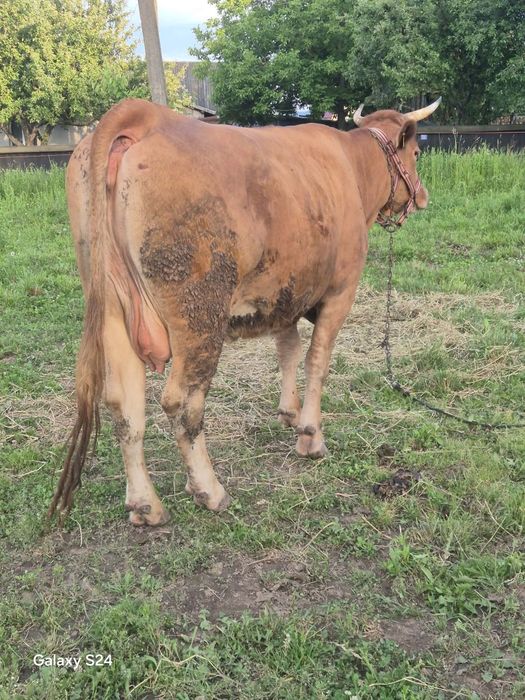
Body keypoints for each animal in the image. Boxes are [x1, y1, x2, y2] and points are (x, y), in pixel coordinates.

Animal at [49, 97, 441, 525]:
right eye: (416, 153)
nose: (422, 196)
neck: (353, 169)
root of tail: (144, 114)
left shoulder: (284, 294)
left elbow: (288, 350)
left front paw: (289, 412)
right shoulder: (341, 291)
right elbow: (316, 361)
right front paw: (310, 435)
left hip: (114, 312)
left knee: (125, 407)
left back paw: (145, 504)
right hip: (200, 317)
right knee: (182, 402)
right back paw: (209, 490)